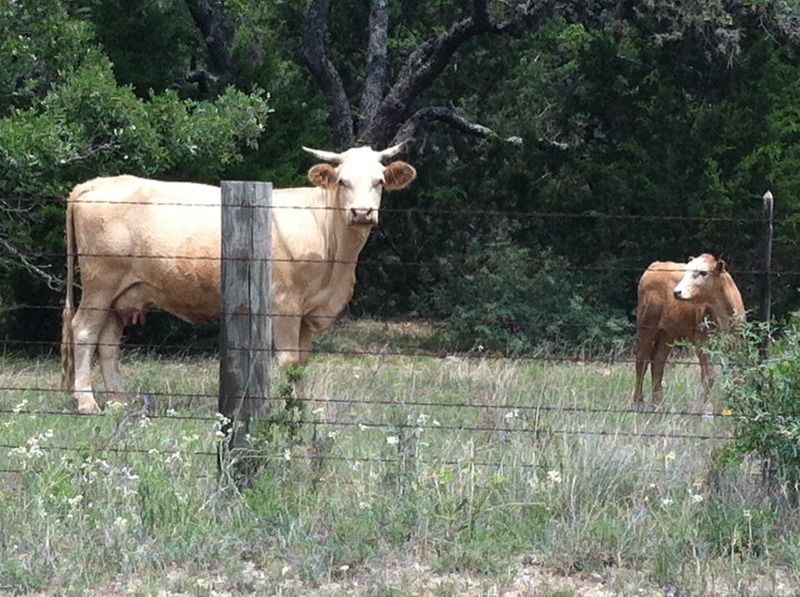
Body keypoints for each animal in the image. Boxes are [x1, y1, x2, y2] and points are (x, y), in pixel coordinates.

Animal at [60, 144, 417, 414]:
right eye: (343, 182)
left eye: (379, 182)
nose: (361, 212)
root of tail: (96, 183)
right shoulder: (284, 305)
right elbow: (288, 360)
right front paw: (283, 408)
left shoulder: (307, 312)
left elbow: (301, 363)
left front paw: (298, 407)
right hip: (99, 284)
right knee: (84, 331)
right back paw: (87, 403)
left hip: (121, 294)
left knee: (107, 342)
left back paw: (119, 402)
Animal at [632, 254, 745, 406]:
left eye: (703, 272)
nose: (676, 292)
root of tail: (656, 265)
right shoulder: (703, 342)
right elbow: (708, 377)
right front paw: (706, 409)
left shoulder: (736, 342)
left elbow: (737, 375)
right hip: (647, 326)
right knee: (641, 362)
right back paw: (638, 403)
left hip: (668, 333)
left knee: (658, 362)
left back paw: (658, 403)